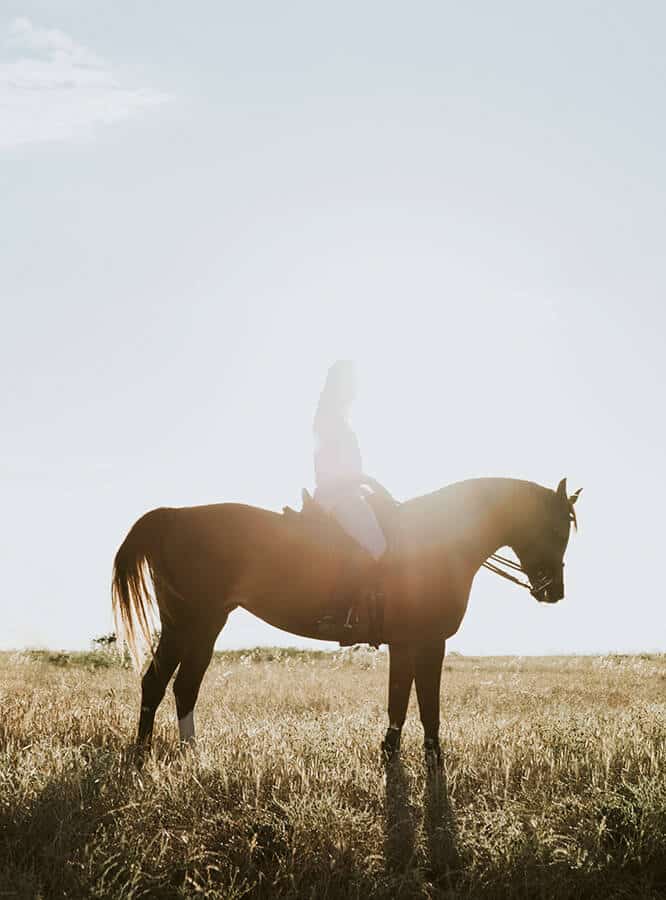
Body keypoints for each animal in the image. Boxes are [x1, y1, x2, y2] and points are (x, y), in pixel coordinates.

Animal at [111, 474, 580, 764]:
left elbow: (400, 701)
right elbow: (427, 705)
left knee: (174, 684)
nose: (553, 592)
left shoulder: (405, 643)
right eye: (557, 529)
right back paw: (159, 752)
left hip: (197, 627)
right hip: (193, 624)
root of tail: (174, 515)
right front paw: (433, 760)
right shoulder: (429, 641)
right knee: (166, 683)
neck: (436, 540)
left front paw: (391, 753)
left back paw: (176, 753)